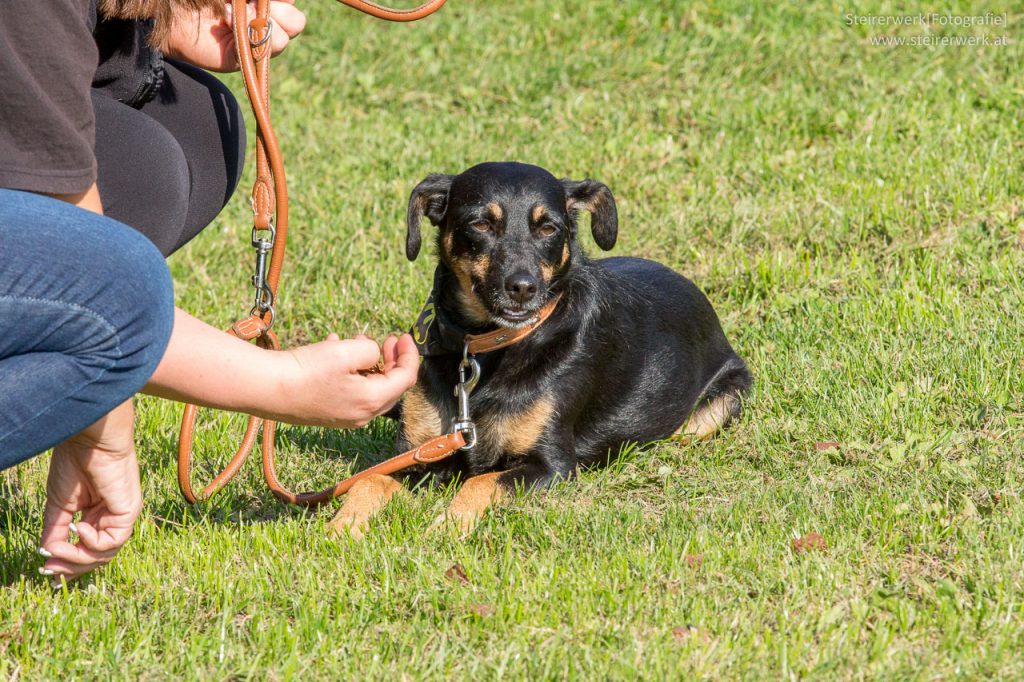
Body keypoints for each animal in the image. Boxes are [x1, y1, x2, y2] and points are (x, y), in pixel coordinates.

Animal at [327, 160, 753, 536]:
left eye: (548, 227)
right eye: (481, 223)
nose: (523, 287)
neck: (486, 348)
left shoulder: (552, 465)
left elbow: (481, 482)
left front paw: (447, 527)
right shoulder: (419, 451)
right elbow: (369, 481)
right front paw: (342, 527)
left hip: (715, 408)